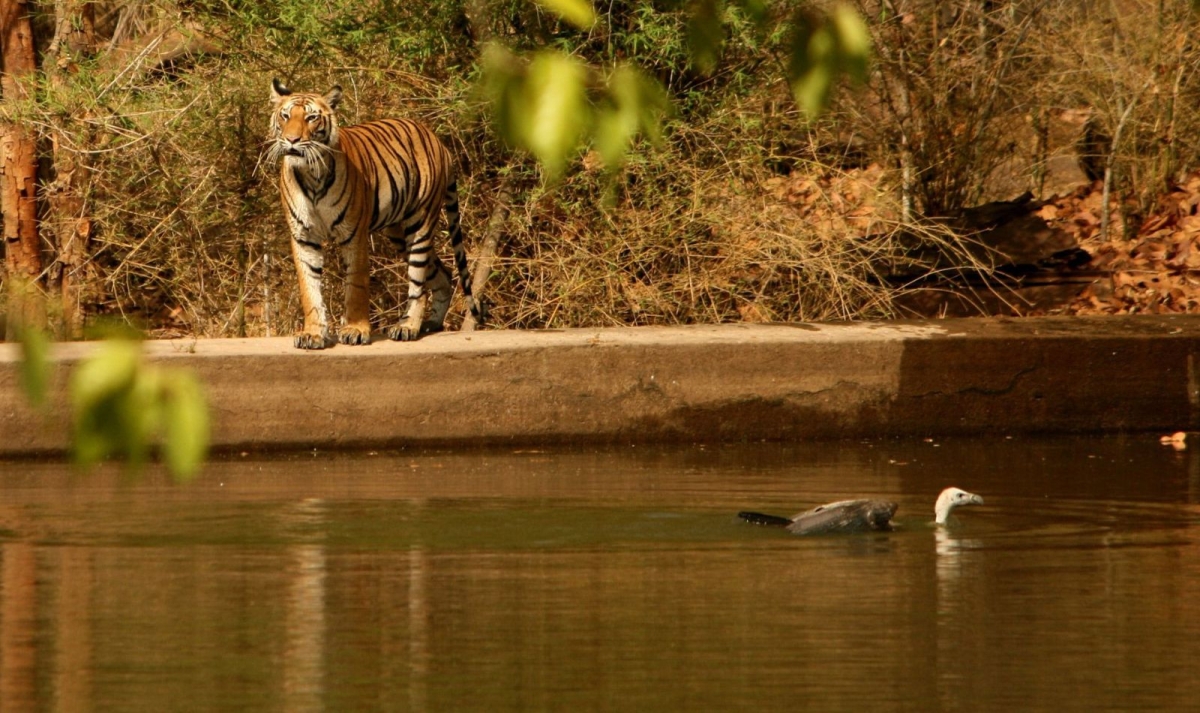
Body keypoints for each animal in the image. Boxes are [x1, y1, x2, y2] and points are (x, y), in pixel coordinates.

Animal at [268, 78, 484, 349]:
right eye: (285, 116)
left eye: (311, 118)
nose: (292, 140)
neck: (311, 174)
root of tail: (438, 140)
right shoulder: (303, 237)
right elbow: (310, 289)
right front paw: (313, 333)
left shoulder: (354, 234)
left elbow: (356, 286)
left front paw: (356, 330)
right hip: (398, 233)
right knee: (443, 274)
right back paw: (432, 323)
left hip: (420, 224)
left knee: (418, 282)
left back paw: (407, 327)